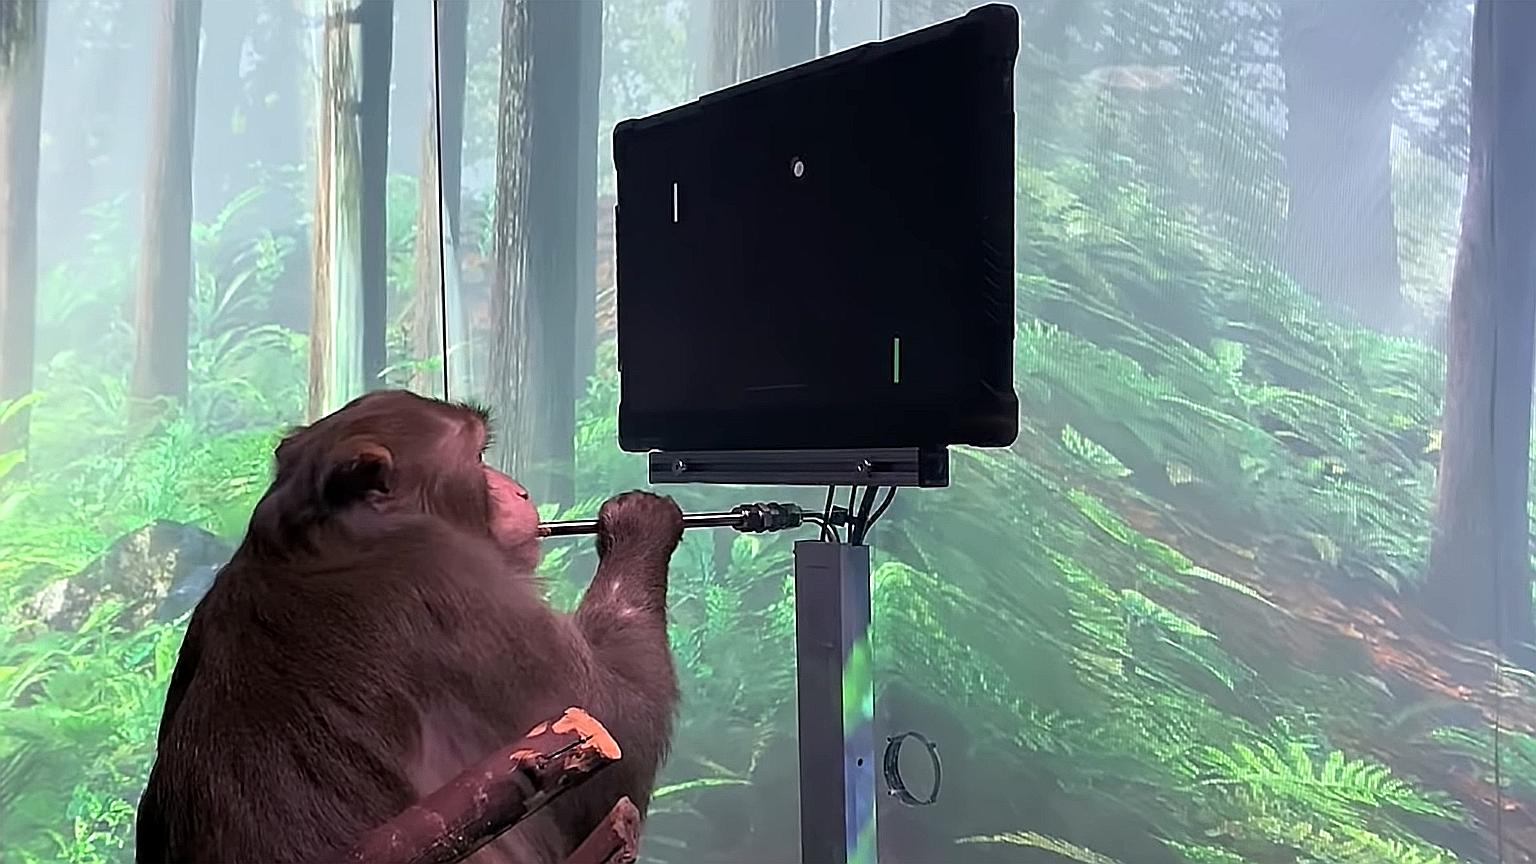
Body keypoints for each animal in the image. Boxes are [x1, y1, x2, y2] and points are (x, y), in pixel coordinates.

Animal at [133, 389, 684, 863]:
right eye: (479, 457)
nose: (521, 491)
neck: (334, 538)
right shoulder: (464, 591)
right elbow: (615, 733)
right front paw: (639, 525)